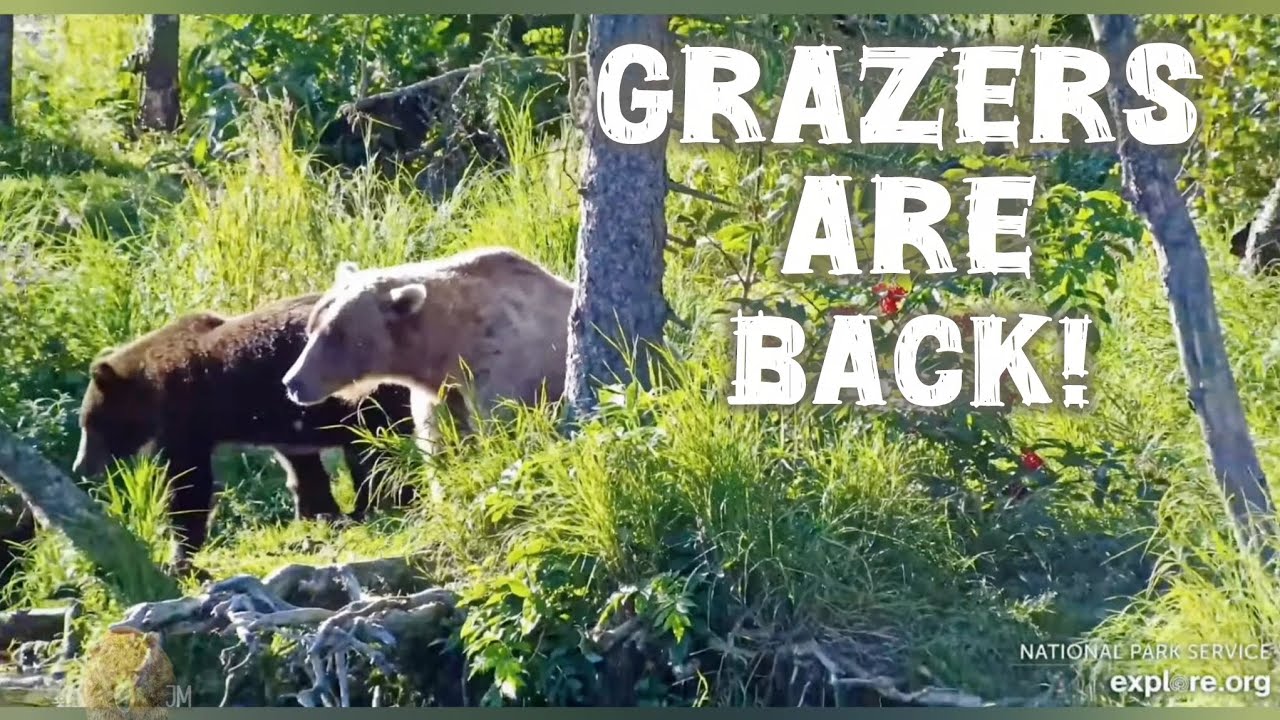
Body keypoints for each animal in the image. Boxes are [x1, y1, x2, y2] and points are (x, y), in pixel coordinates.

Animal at [72, 293, 415, 567]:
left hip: (370, 396)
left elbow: (189, 485)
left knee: (380, 452)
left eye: (90, 425)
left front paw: (180, 552)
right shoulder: (285, 421)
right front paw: (316, 514)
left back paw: (380, 504)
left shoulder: (186, 422)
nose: (80, 466)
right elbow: (303, 468)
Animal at [280, 246, 574, 453]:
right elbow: (443, 444)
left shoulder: (504, 377)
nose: (292, 381)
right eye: (311, 328)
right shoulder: (440, 397)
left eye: (335, 335)